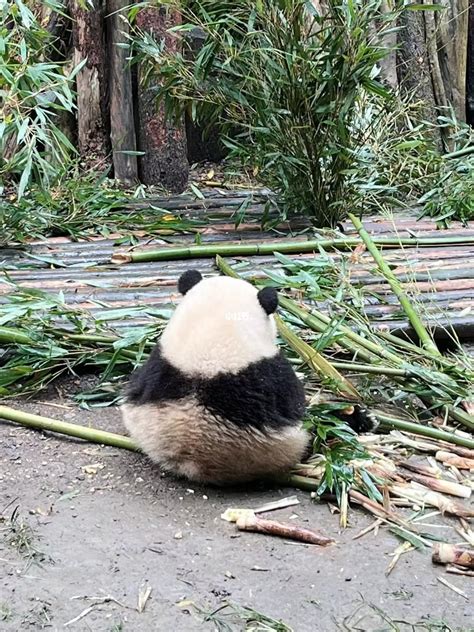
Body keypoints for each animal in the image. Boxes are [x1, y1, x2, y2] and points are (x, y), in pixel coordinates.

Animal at [120, 268, 376, 484]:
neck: (214, 330)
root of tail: (192, 463)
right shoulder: (273, 378)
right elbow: (295, 406)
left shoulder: (155, 365)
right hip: (284, 446)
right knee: (318, 431)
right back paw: (355, 419)